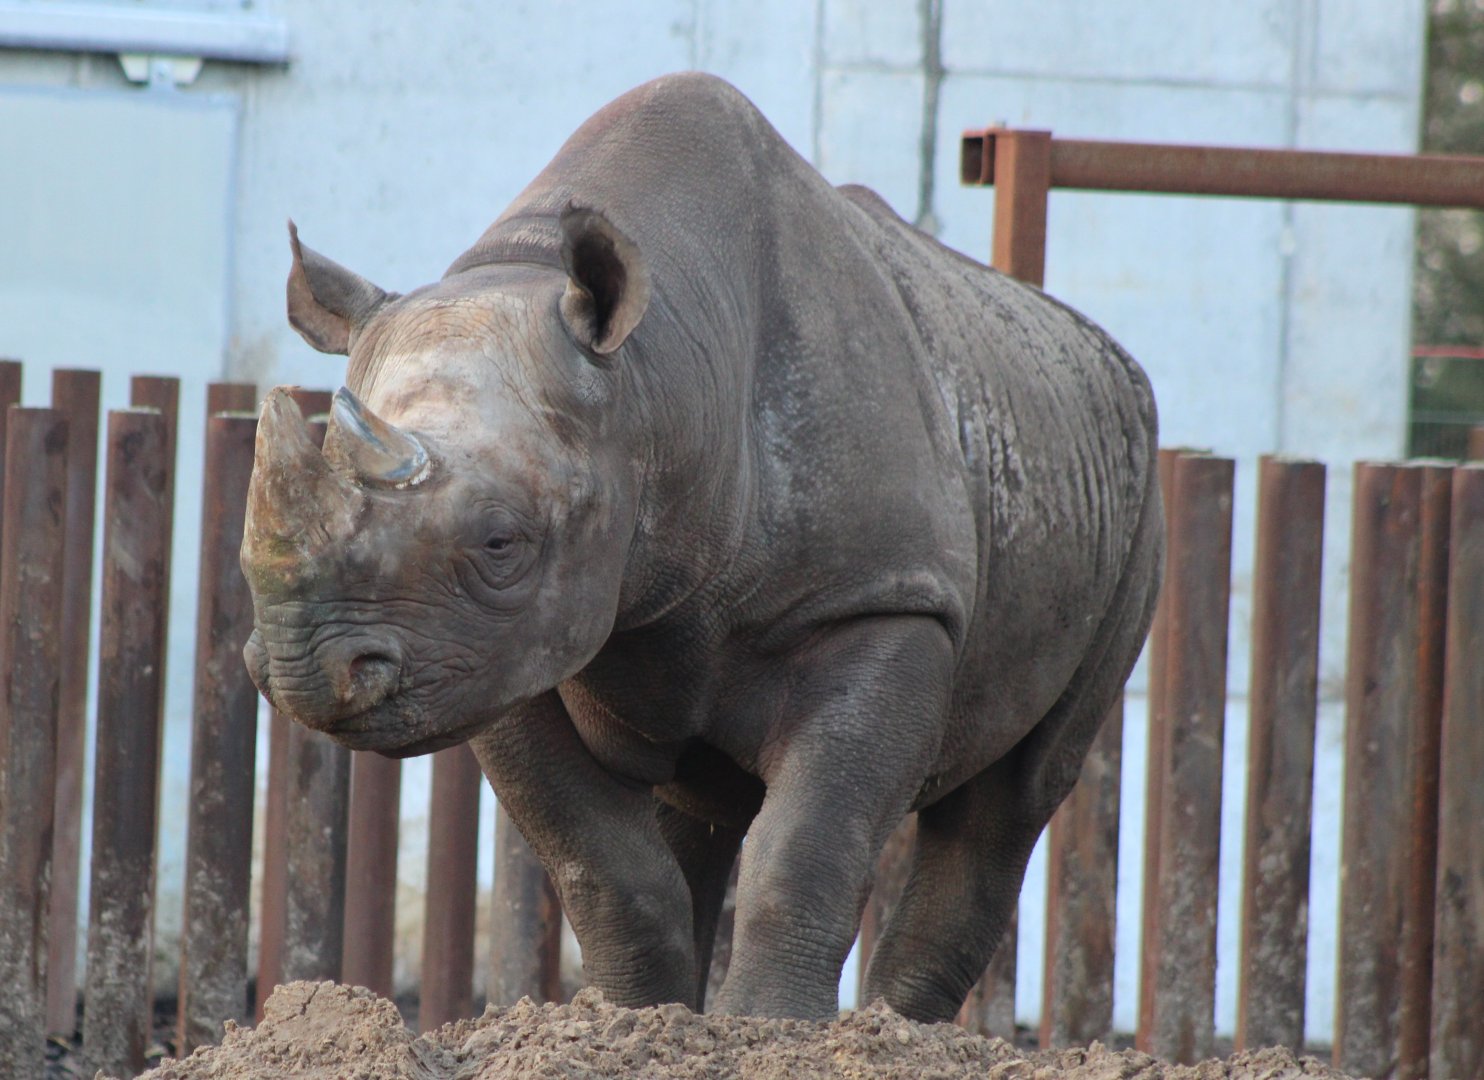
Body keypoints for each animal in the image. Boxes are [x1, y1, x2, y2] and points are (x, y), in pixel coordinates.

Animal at [241, 72, 1162, 1023]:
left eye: (501, 542)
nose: (309, 670)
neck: (656, 383)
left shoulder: (886, 597)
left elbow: (811, 840)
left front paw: (772, 1028)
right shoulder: (498, 655)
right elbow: (601, 863)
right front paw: (635, 1023)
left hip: (1129, 501)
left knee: (1013, 797)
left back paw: (897, 1029)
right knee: (698, 806)